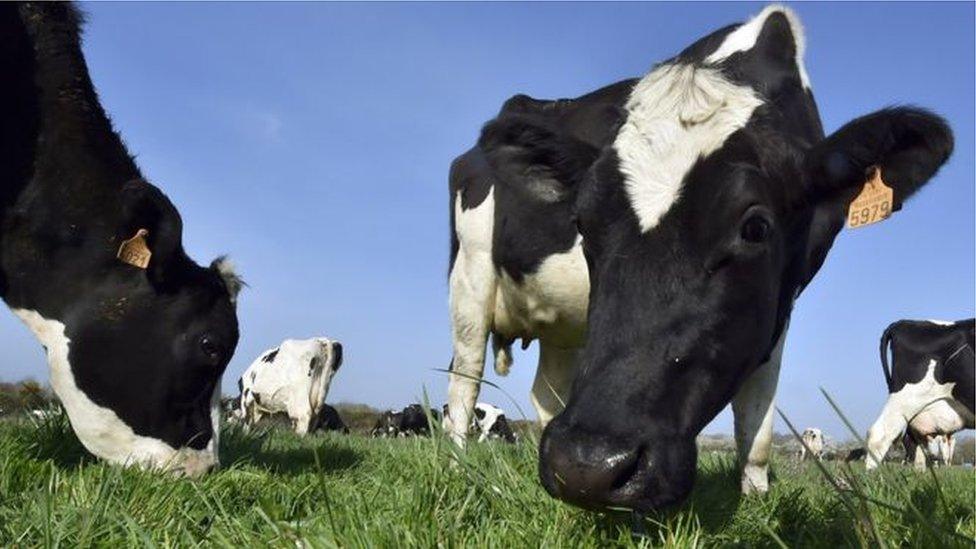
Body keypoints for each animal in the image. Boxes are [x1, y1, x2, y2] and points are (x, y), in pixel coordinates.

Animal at [448, 4, 952, 510]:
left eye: (755, 227)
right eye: (582, 223)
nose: (585, 466)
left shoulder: (783, 299)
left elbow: (757, 418)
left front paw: (755, 498)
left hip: (558, 324)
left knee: (545, 391)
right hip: (469, 274)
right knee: (464, 377)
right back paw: (456, 460)